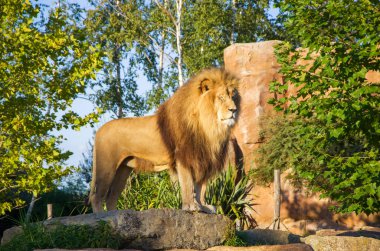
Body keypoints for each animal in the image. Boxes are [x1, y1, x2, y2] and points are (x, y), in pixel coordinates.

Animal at [88, 67, 240, 213]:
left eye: (233, 96)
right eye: (220, 97)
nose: (234, 110)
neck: (209, 126)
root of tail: (100, 129)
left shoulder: (204, 159)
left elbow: (201, 188)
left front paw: (203, 206)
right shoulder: (185, 157)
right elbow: (188, 185)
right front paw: (191, 206)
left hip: (123, 170)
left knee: (111, 197)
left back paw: (115, 213)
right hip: (106, 166)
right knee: (97, 195)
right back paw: (101, 215)